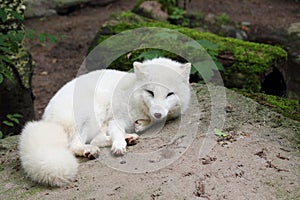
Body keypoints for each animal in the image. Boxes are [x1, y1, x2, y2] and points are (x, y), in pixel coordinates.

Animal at [18, 57, 191, 187]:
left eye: (170, 94)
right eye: (150, 92)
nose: (157, 113)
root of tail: (48, 120)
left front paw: (140, 125)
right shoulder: (116, 119)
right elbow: (117, 131)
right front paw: (119, 145)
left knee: (96, 139)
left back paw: (129, 138)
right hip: (91, 111)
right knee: (75, 144)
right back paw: (91, 150)